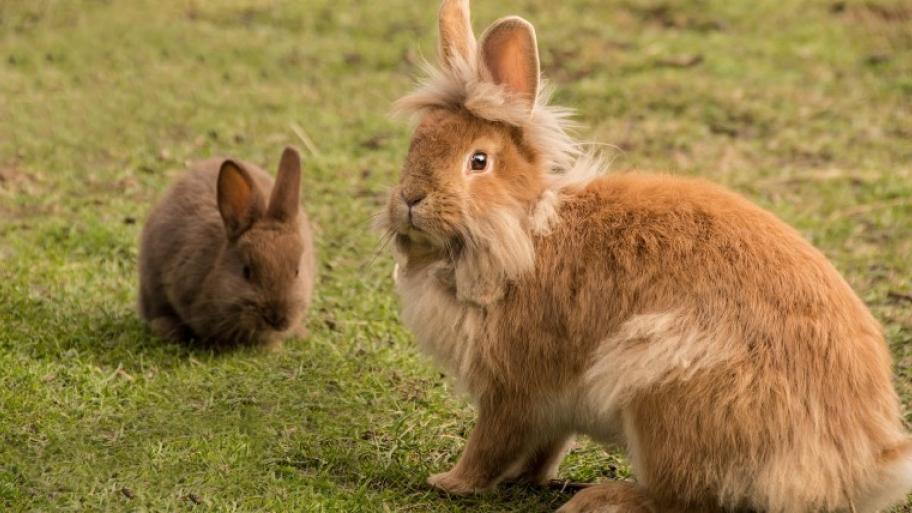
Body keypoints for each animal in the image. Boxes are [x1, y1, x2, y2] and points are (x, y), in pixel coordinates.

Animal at [379, 1, 912, 512]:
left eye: (478, 161)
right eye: (416, 142)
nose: (410, 199)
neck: (525, 229)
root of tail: (858, 467)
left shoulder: (513, 391)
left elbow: (491, 444)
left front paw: (450, 483)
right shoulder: (551, 408)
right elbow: (545, 448)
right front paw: (523, 479)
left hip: (662, 389)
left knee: (681, 499)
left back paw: (600, 500)